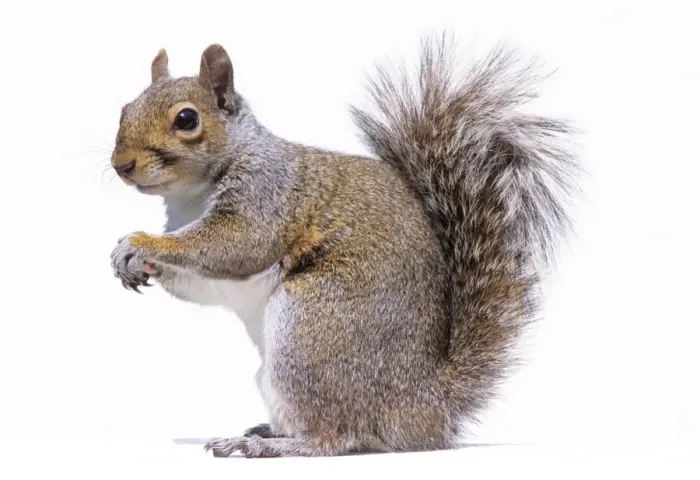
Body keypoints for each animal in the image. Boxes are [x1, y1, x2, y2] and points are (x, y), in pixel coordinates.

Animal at [109, 33, 579, 457]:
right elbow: (201, 283)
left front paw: (139, 242)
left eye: (187, 119)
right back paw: (268, 431)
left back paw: (269, 445)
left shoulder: (266, 196)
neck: (191, 195)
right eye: (125, 109)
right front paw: (135, 263)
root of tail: (424, 406)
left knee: (334, 435)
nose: (120, 165)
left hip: (312, 327)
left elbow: (234, 245)